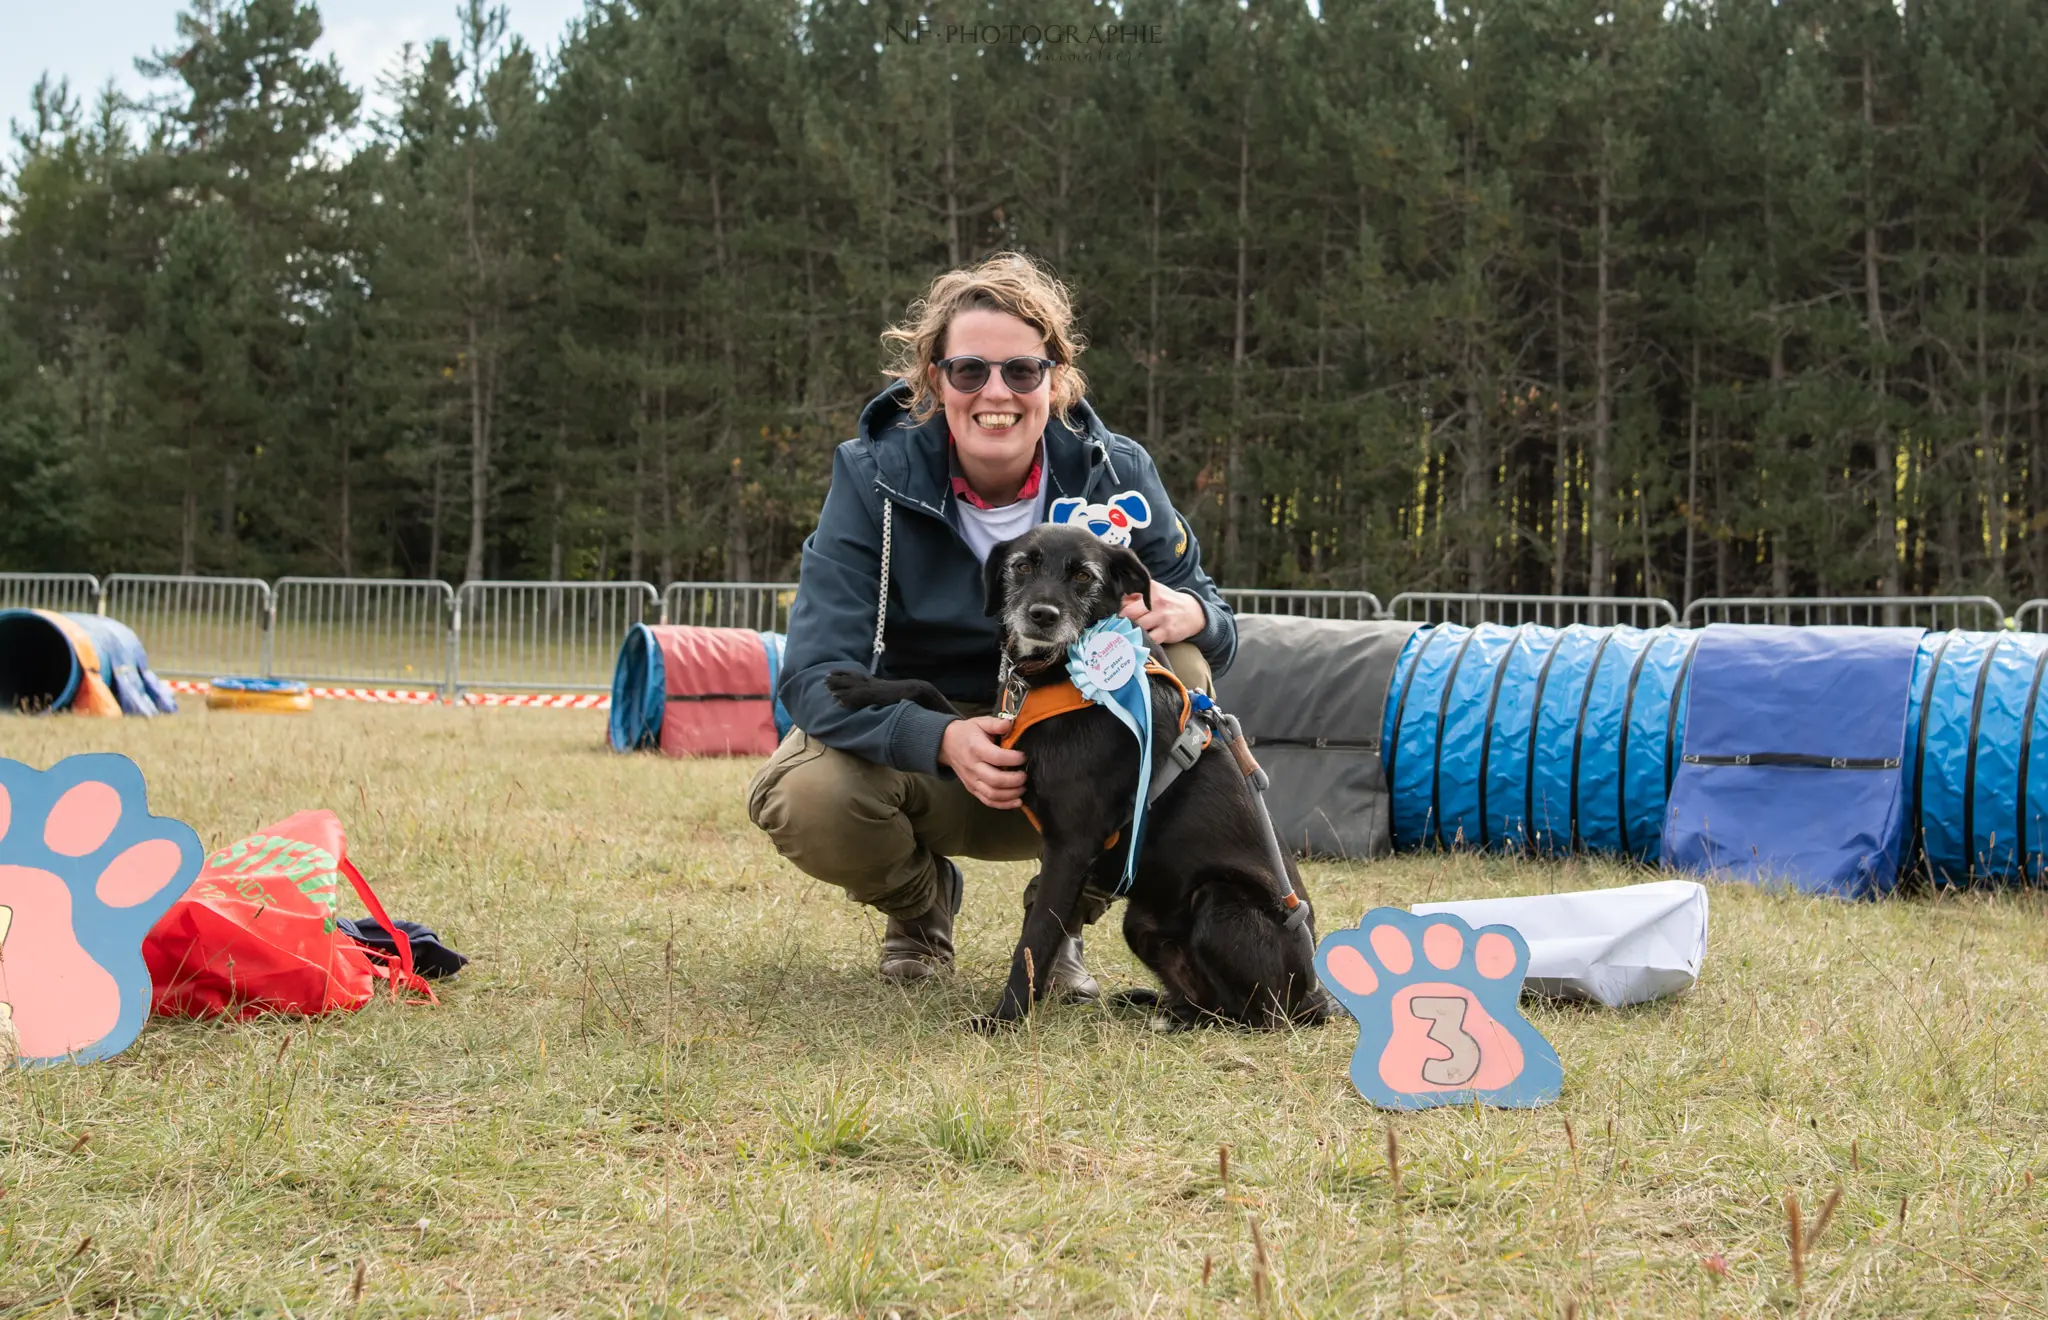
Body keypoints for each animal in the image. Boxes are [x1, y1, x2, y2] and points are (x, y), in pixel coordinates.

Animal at [823, 521, 1335, 1031]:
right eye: (1022, 566)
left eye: (1084, 576)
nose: (1041, 615)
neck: (1061, 670)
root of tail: (1316, 997)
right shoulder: (998, 744)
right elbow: (927, 692)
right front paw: (863, 686)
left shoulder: (1070, 845)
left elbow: (1034, 940)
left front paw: (1003, 1019)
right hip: (1141, 923)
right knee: (1205, 999)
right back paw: (1158, 1006)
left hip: (1218, 901)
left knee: (1253, 1015)